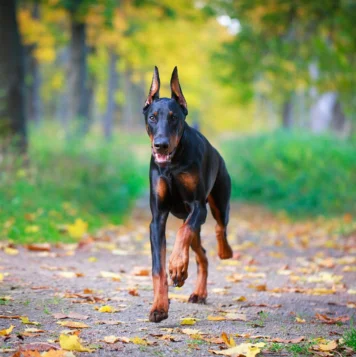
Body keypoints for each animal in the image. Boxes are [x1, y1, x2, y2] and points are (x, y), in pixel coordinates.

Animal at [143, 65, 234, 322]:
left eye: (174, 118)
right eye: (153, 117)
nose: (161, 145)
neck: (172, 163)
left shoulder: (197, 206)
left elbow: (182, 234)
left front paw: (176, 266)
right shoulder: (158, 218)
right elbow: (158, 268)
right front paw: (159, 307)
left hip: (218, 202)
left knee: (219, 228)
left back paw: (224, 252)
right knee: (201, 254)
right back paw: (197, 291)